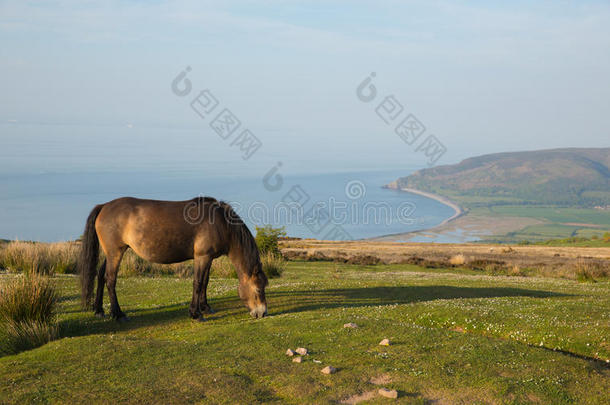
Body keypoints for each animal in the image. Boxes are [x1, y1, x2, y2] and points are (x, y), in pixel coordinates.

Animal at [76, 196, 266, 322]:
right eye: (258, 289)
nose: (263, 313)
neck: (220, 223)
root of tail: (104, 206)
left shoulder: (209, 258)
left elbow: (205, 282)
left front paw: (205, 307)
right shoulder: (202, 257)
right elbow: (198, 283)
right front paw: (196, 314)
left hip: (111, 253)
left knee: (101, 275)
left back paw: (99, 310)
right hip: (116, 252)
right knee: (110, 279)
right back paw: (118, 314)